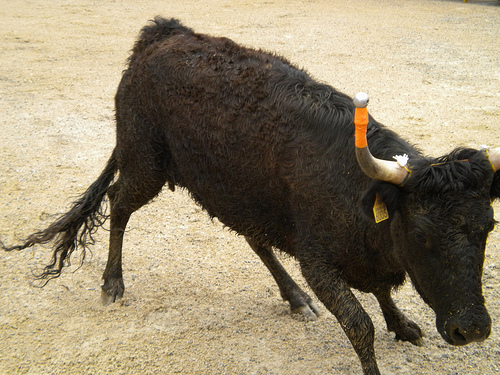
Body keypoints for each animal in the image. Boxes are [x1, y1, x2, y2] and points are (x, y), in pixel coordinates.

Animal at [1, 16, 498, 374]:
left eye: (488, 229)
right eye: (422, 235)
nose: (471, 330)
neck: (352, 184)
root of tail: (164, 33)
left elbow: (379, 292)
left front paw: (402, 323)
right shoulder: (318, 260)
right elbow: (360, 325)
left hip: (243, 192)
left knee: (255, 238)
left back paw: (295, 297)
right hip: (145, 163)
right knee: (119, 204)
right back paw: (112, 284)